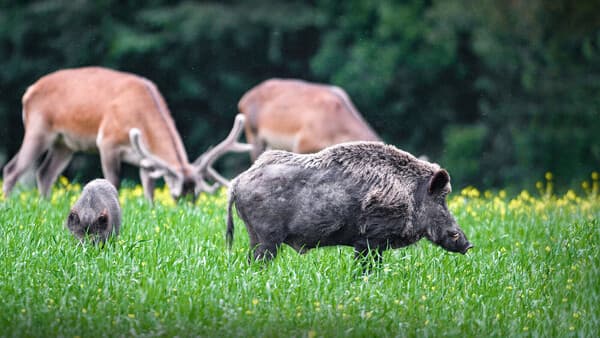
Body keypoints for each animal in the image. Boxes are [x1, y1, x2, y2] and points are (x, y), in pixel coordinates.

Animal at [2, 67, 251, 202]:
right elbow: (113, 180)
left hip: (65, 144)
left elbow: (149, 187)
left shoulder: (144, 157)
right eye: (177, 195)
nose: (186, 209)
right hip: (38, 128)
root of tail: (28, 92)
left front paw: (151, 208)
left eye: (196, 195)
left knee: (45, 173)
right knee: (12, 168)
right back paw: (8, 202)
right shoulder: (107, 141)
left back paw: (44, 203)